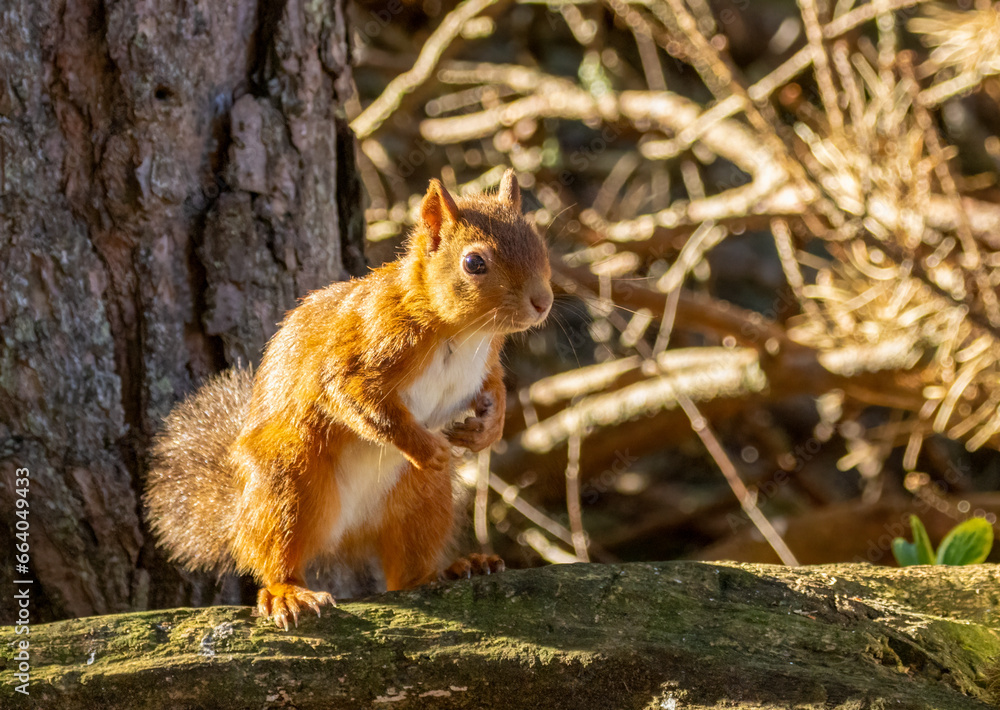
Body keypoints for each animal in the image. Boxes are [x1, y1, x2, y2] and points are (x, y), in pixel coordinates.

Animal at [145, 169, 552, 630]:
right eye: (474, 263)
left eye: (539, 242)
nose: (543, 302)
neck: (463, 334)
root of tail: (345, 533)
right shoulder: (368, 345)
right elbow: (358, 400)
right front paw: (428, 448)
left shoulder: (486, 364)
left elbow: (495, 387)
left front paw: (488, 429)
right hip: (288, 479)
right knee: (274, 556)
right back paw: (287, 595)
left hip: (422, 501)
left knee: (407, 572)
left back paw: (457, 568)